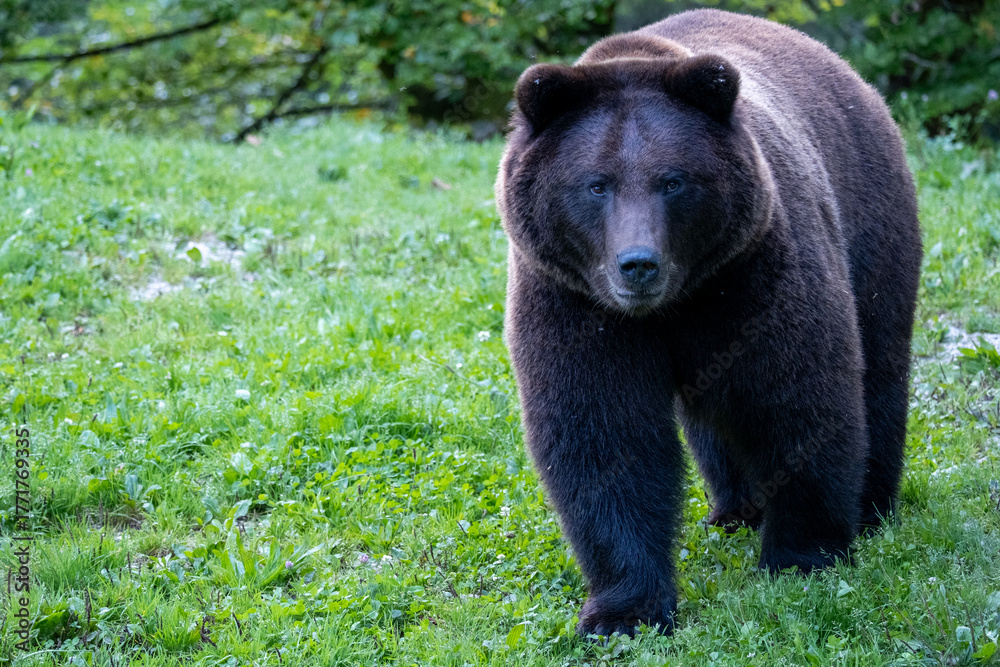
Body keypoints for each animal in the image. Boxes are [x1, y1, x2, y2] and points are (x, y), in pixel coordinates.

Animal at [494, 9, 922, 638]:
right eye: (596, 183)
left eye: (673, 180)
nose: (638, 264)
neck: (674, 304)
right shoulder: (573, 302)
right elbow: (604, 437)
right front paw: (622, 611)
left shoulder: (754, 276)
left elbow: (799, 397)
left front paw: (803, 555)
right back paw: (734, 509)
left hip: (870, 217)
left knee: (879, 362)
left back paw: (871, 505)